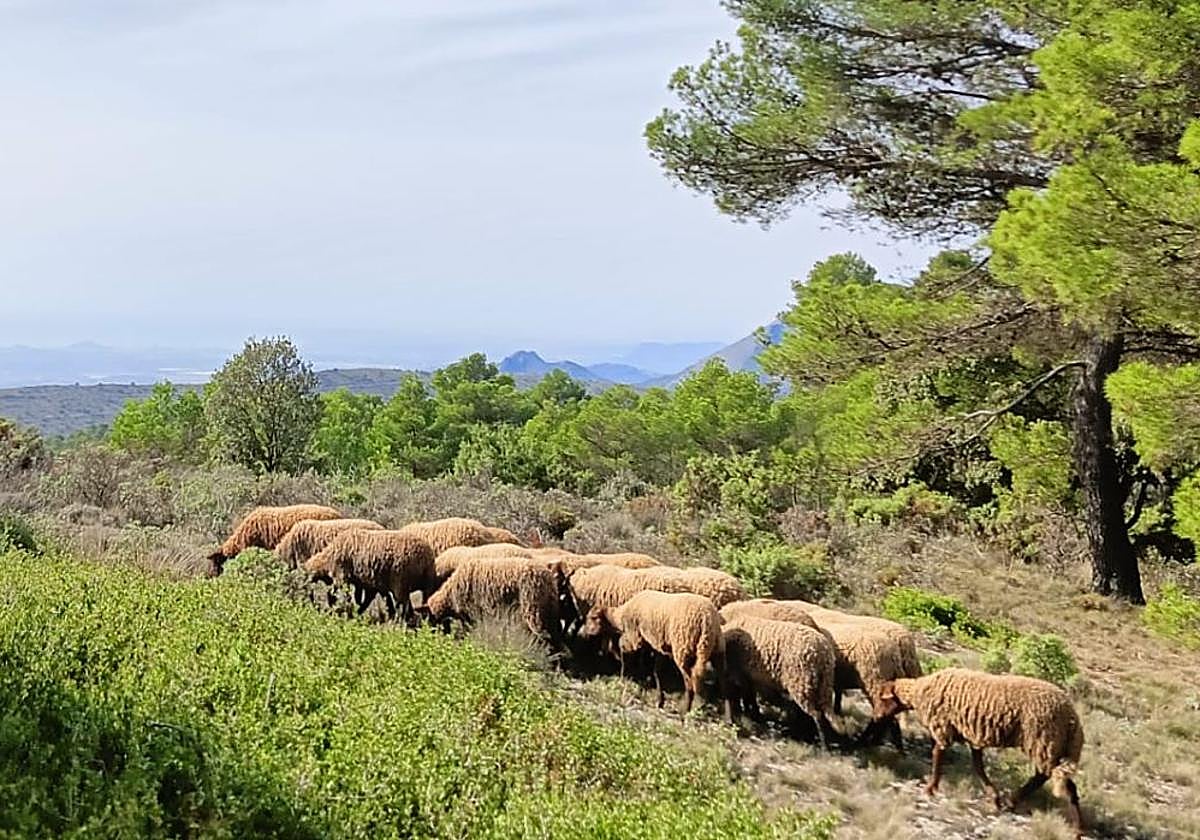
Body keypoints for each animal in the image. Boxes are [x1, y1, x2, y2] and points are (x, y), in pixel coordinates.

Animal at [303, 529, 436, 624]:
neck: (327, 558)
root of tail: (425, 556)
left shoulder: (342, 576)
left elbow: (335, 595)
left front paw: (345, 612)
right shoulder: (374, 583)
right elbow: (371, 599)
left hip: (400, 581)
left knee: (403, 604)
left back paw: (401, 621)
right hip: (425, 582)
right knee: (421, 603)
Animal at [421, 557, 565, 647]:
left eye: (429, 618)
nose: (428, 635)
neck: (450, 595)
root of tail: (548, 578)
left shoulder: (471, 614)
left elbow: (469, 630)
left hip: (534, 609)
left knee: (545, 636)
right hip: (549, 609)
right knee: (555, 635)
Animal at [580, 590, 729, 721]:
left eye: (593, 618)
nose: (585, 633)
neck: (620, 617)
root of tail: (706, 619)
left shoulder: (635, 637)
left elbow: (623, 647)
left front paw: (624, 675)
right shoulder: (658, 647)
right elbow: (657, 672)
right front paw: (659, 700)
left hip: (683, 648)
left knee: (690, 682)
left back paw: (685, 711)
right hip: (717, 649)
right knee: (723, 683)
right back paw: (727, 718)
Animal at [721, 614, 840, 748]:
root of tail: (824, 653)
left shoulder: (740, 674)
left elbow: (743, 697)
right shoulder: (749, 677)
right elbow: (748, 697)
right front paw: (753, 716)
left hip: (801, 682)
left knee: (816, 715)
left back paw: (820, 744)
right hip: (821, 685)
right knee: (821, 713)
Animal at [878, 668, 1084, 836]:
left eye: (882, 698)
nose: (878, 717)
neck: (919, 691)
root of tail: (1073, 720)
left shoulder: (943, 726)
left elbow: (938, 754)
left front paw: (930, 788)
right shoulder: (972, 737)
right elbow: (978, 767)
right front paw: (993, 797)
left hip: (1043, 741)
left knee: (1043, 777)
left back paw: (1013, 801)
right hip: (1054, 747)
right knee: (1068, 785)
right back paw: (1077, 829)